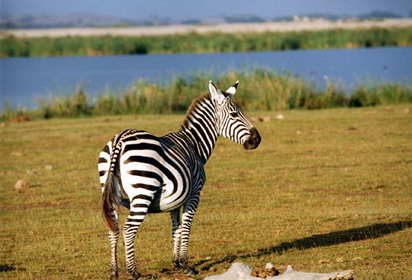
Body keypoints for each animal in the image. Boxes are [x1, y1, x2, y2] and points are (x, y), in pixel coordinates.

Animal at [97, 80, 260, 278]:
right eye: (235, 114)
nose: (257, 139)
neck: (195, 145)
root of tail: (120, 139)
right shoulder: (194, 194)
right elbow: (187, 226)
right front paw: (185, 264)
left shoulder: (174, 200)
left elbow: (176, 228)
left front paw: (176, 262)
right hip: (143, 192)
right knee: (128, 230)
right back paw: (134, 273)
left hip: (111, 192)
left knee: (113, 228)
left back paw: (114, 272)